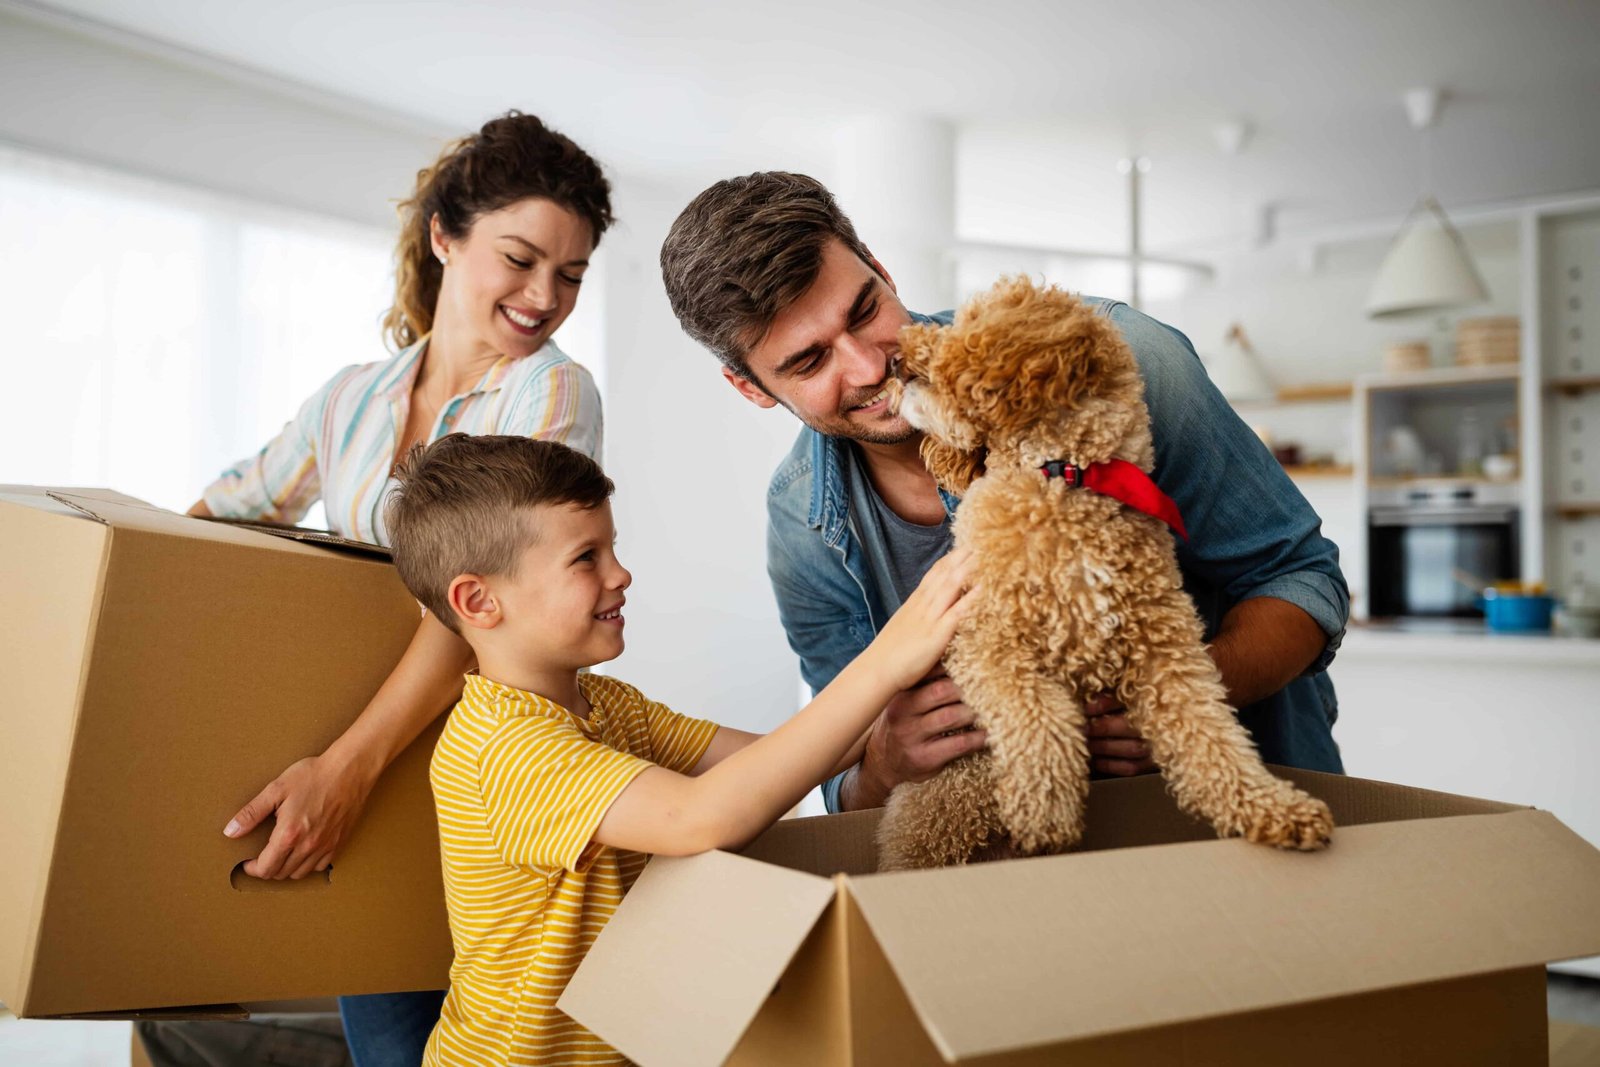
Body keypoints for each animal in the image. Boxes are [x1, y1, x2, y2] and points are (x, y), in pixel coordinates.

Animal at [876, 279, 1337, 870]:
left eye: (965, 325)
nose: (895, 357)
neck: (1066, 478)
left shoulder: (1169, 656)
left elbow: (1214, 737)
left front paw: (1274, 807)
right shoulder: (986, 643)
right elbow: (1039, 721)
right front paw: (1046, 812)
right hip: (945, 803)